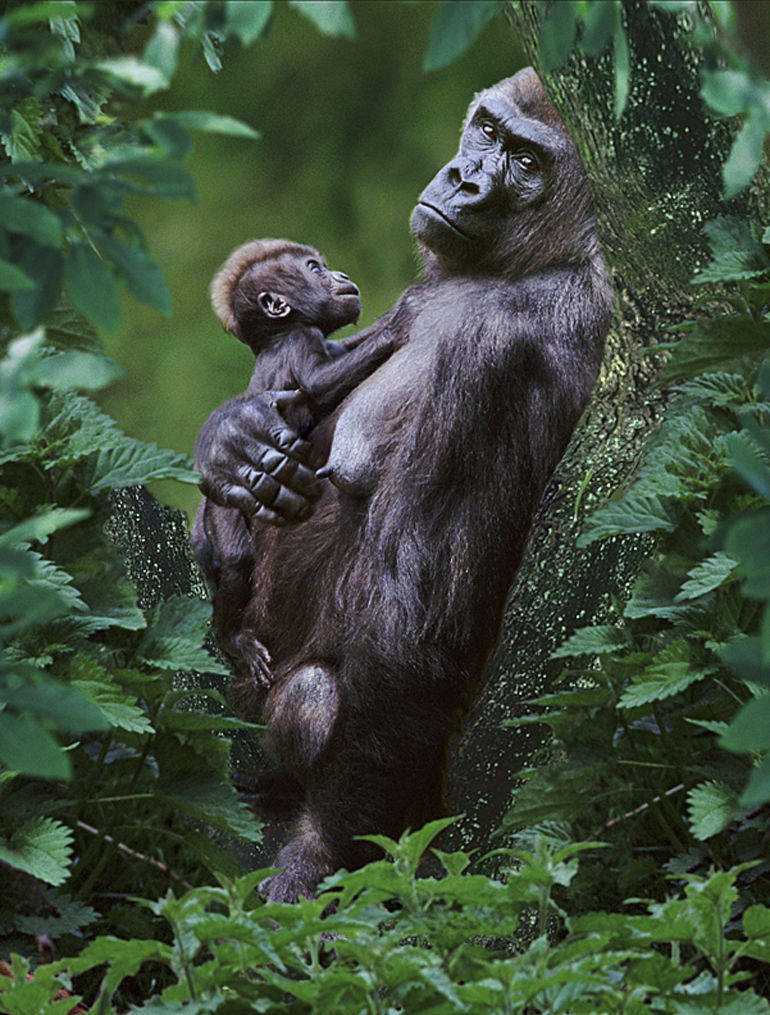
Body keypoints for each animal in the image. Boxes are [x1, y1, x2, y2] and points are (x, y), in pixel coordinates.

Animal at [192, 236, 397, 686]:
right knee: (236, 561)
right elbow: (319, 383)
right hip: (224, 505)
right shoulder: (300, 338)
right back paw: (232, 638)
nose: (340, 275)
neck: (278, 334)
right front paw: (403, 316)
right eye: (313, 270)